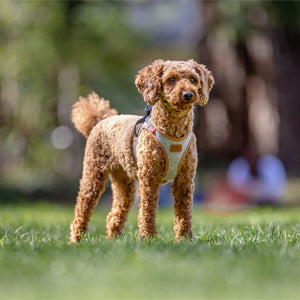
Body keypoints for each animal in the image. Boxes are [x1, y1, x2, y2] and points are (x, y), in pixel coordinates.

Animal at [68, 59, 213, 243]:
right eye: (171, 79)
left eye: (193, 79)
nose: (188, 94)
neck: (173, 132)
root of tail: (103, 119)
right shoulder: (149, 178)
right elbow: (147, 210)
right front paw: (148, 237)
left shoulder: (185, 180)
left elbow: (184, 212)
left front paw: (185, 238)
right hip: (93, 174)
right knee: (83, 208)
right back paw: (76, 239)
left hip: (124, 182)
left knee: (116, 212)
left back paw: (113, 239)